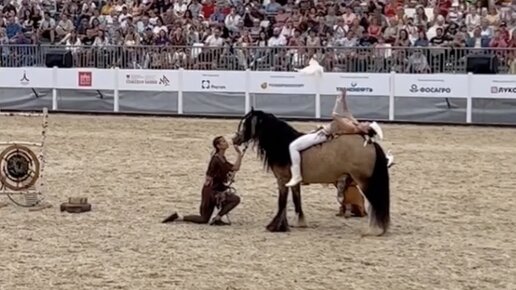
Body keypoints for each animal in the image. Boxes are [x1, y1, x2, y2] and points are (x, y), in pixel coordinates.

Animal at [232, 108, 390, 236]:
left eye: (245, 124)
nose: (235, 139)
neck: (284, 144)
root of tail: (370, 143)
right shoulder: (293, 182)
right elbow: (297, 200)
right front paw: (299, 223)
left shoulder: (282, 180)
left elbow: (281, 202)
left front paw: (275, 226)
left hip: (364, 181)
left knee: (375, 203)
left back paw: (374, 230)